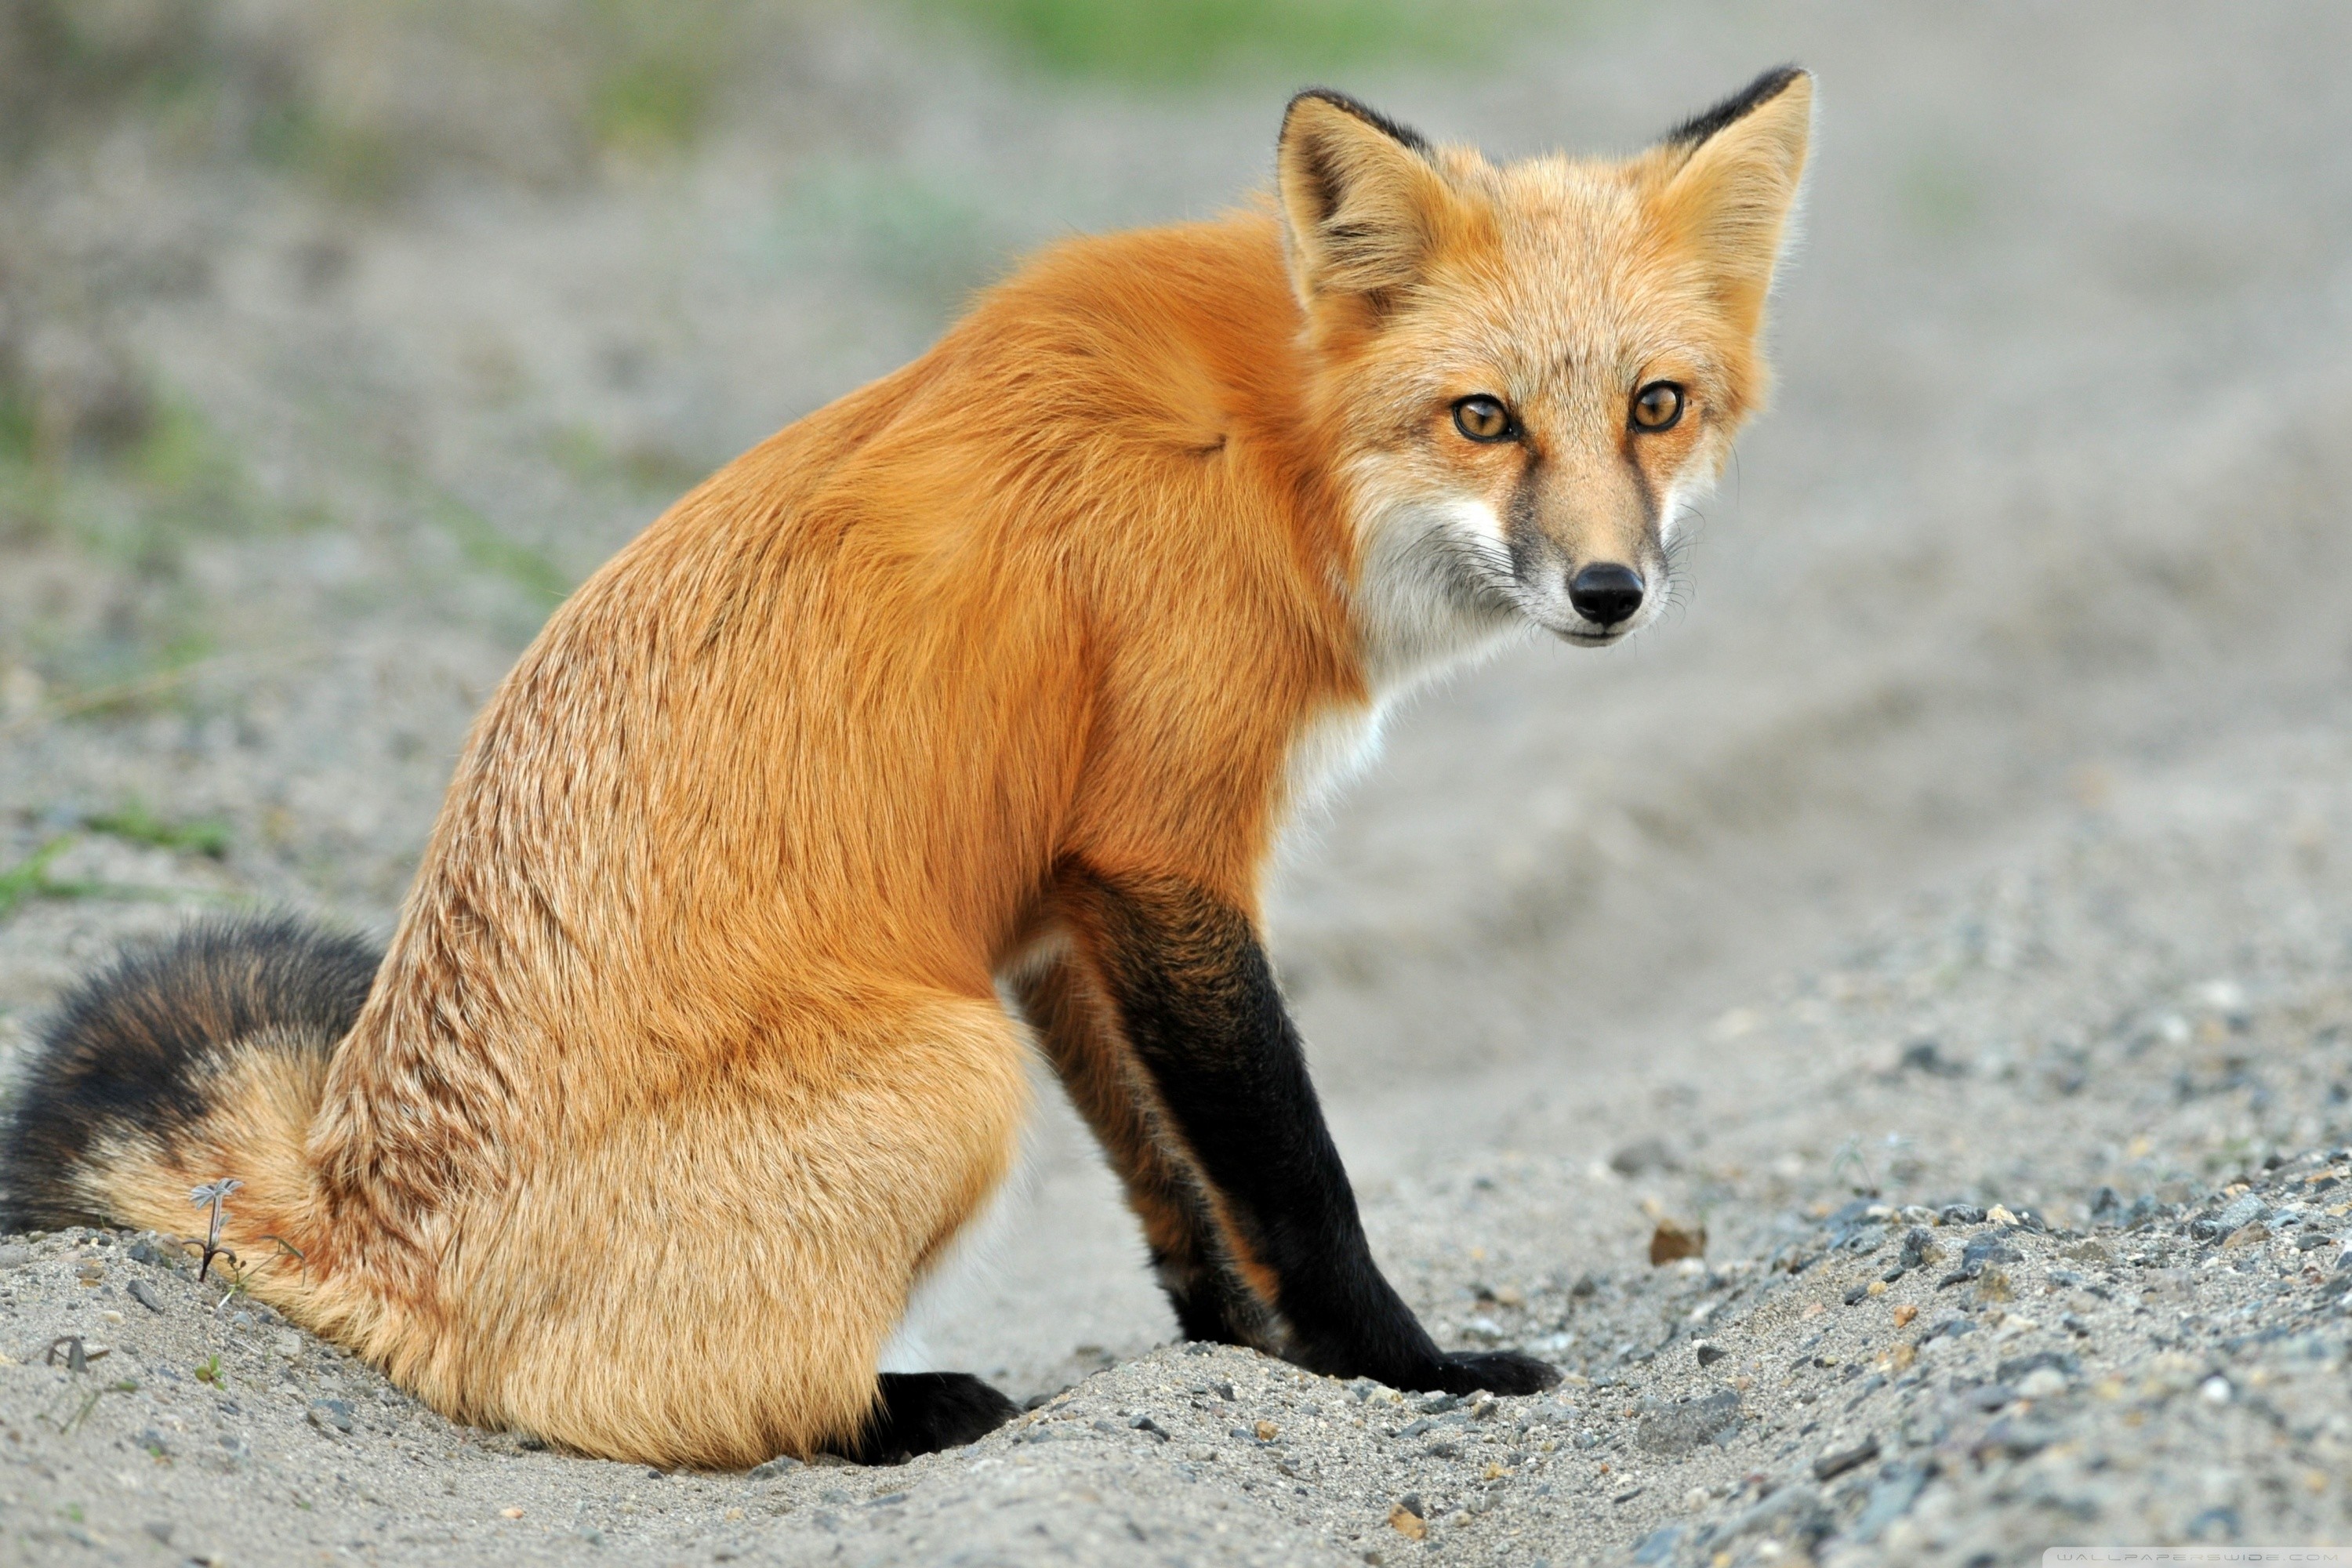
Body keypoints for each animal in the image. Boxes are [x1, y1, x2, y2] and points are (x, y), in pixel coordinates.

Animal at [0, 70, 1811, 1469]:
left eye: (1657, 405)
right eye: (1484, 418)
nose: (1610, 591)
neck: (1270, 450)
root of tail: (354, 1222)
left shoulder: (1071, 901)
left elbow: (1173, 1182)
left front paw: (1237, 1363)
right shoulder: (1166, 855)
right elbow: (1294, 1169)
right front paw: (1405, 1369)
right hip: (953, 1071)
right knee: (634, 1405)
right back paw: (906, 1410)